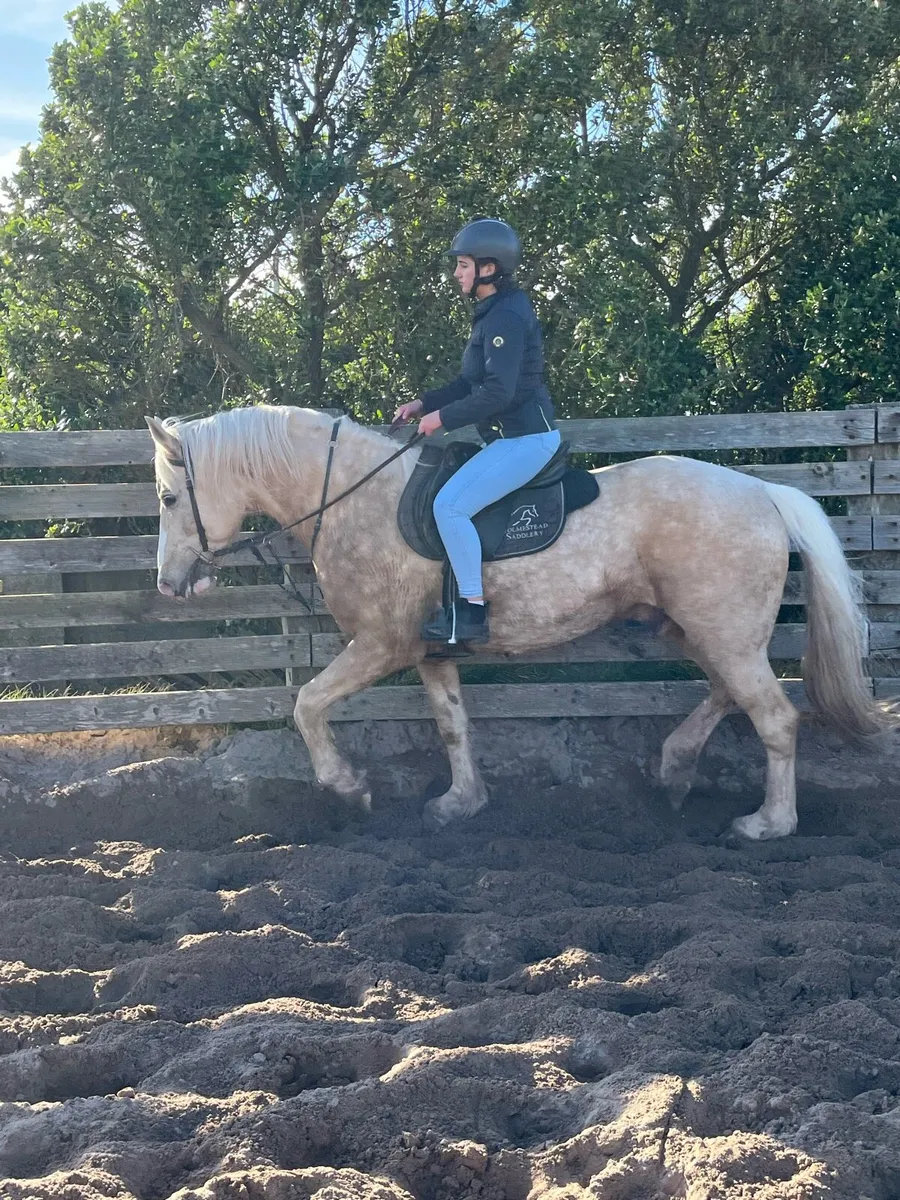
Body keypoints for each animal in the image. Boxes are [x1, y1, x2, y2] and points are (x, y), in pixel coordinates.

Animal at [146, 404, 895, 839]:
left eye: (167, 497)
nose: (169, 584)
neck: (357, 497)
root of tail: (764, 491)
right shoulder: (430, 652)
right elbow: (452, 725)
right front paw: (461, 803)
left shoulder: (381, 644)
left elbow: (306, 703)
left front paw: (349, 788)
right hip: (700, 629)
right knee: (723, 693)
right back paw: (676, 767)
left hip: (723, 633)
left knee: (774, 718)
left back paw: (768, 822)